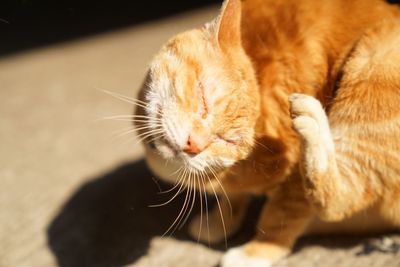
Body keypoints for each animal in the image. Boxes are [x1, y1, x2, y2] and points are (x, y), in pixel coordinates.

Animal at [134, 0, 400, 266]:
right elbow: (233, 199)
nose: (193, 144)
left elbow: (278, 217)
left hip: (373, 63)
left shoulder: (293, 180)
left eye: (227, 140)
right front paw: (219, 221)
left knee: (339, 199)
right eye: (203, 99)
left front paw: (256, 251)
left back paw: (315, 122)